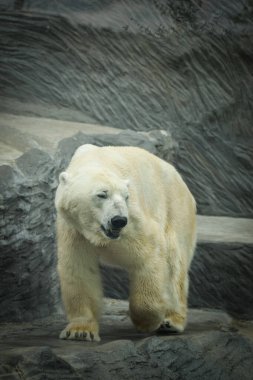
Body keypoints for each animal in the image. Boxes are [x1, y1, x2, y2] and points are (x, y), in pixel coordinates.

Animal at [55, 145, 197, 342]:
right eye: (102, 194)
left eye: (126, 196)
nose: (118, 220)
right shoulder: (74, 228)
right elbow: (79, 268)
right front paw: (80, 331)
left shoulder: (133, 221)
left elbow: (149, 253)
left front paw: (147, 322)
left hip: (176, 207)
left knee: (174, 264)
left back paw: (171, 322)